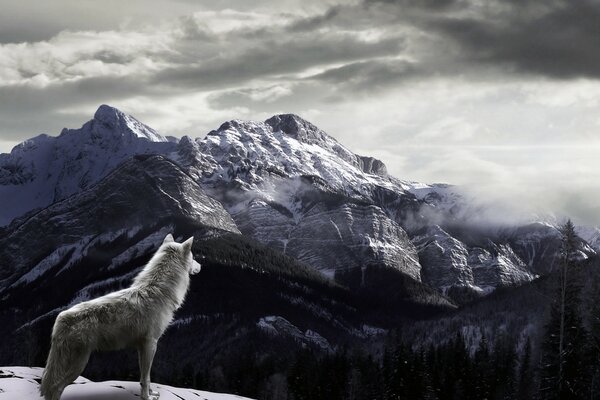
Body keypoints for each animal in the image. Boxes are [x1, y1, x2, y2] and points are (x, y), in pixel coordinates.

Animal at [39, 233, 202, 398]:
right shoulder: (151, 343)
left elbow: (145, 377)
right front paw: (147, 397)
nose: (200, 265)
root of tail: (60, 318)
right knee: (55, 388)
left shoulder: (142, 347)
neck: (158, 290)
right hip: (78, 365)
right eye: (194, 257)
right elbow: (147, 377)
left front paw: (150, 392)